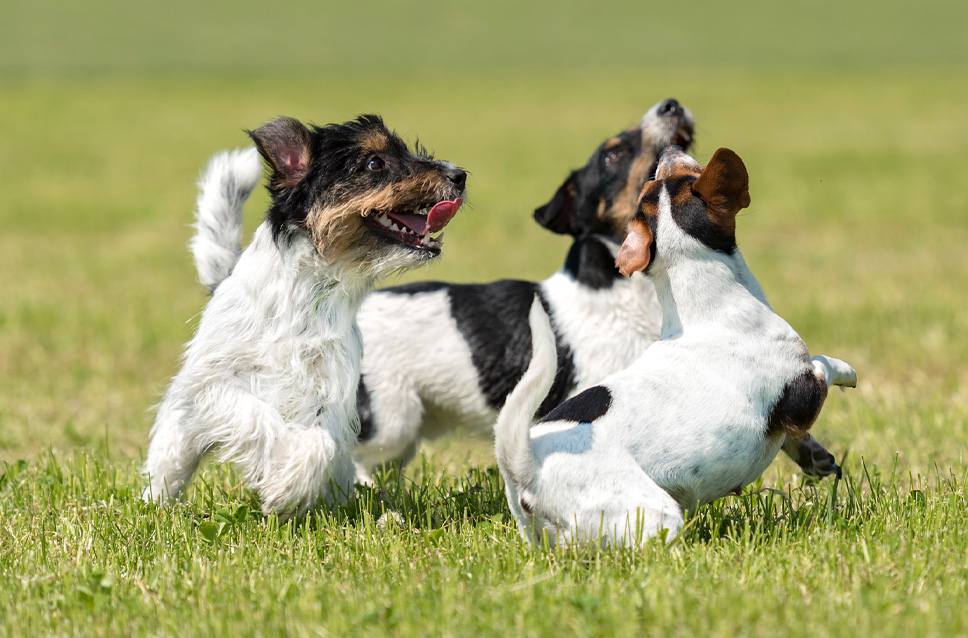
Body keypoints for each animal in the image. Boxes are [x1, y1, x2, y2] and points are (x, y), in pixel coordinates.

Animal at [141, 115, 468, 520]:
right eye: (374, 163)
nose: (459, 175)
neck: (307, 294)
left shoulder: (329, 394)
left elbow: (318, 443)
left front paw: (287, 487)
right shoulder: (214, 384)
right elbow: (256, 414)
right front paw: (281, 479)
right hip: (181, 430)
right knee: (169, 463)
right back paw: (157, 504)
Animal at [500, 146, 856, 552]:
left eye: (653, 184)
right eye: (692, 175)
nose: (669, 150)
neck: (705, 305)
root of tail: (529, 466)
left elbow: (794, 440)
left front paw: (815, 456)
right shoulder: (802, 393)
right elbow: (824, 364)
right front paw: (849, 372)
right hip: (655, 514)